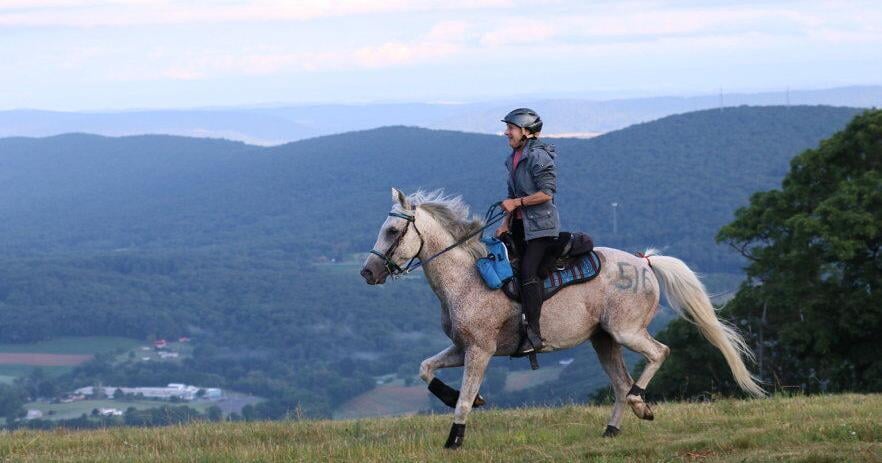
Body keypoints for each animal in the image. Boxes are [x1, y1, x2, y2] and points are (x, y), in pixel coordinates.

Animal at [360, 188, 765, 449]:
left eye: (393, 231)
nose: (368, 272)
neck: (467, 277)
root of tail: (645, 262)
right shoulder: (462, 348)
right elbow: (425, 369)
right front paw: (460, 399)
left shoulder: (480, 351)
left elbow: (463, 398)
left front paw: (454, 439)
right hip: (604, 340)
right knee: (621, 382)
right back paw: (613, 428)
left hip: (626, 331)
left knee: (658, 353)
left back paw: (640, 402)